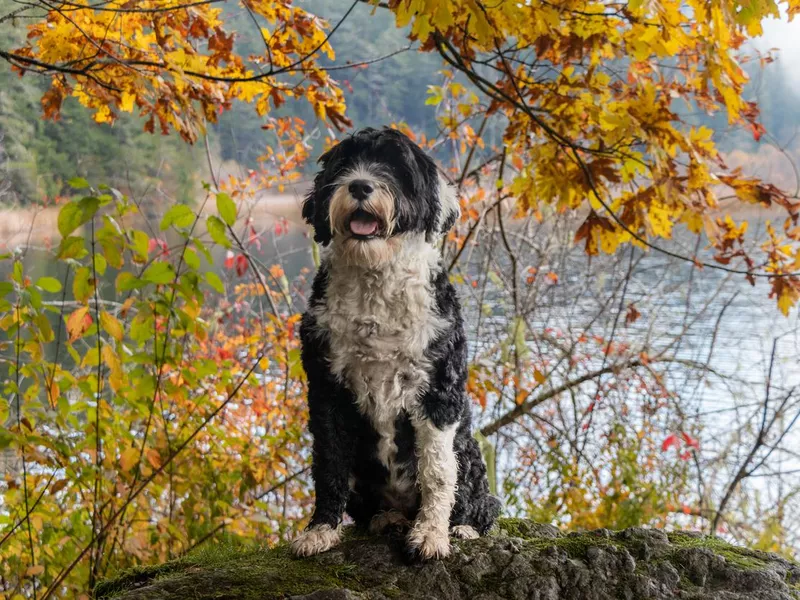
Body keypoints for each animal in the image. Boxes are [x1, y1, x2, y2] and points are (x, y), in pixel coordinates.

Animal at [290, 127, 496, 564]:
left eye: (396, 168)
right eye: (344, 165)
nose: (360, 185)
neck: (376, 280)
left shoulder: (438, 392)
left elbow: (437, 472)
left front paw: (431, 535)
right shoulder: (327, 389)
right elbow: (329, 463)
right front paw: (320, 530)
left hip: (469, 451)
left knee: (481, 502)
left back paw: (462, 527)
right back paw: (387, 519)